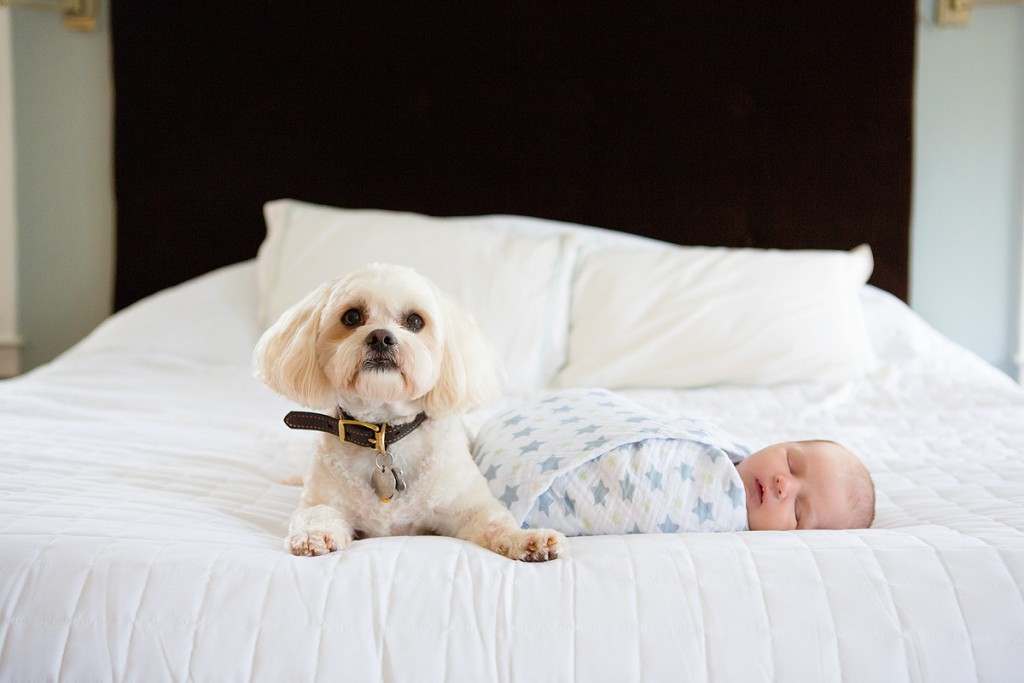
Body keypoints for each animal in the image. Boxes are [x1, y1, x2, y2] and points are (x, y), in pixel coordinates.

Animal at [252, 262, 565, 561]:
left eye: (415, 320)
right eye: (351, 317)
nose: (381, 337)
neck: (383, 434)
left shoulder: (467, 507)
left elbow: (495, 521)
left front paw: (528, 539)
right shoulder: (325, 500)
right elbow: (315, 514)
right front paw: (311, 536)